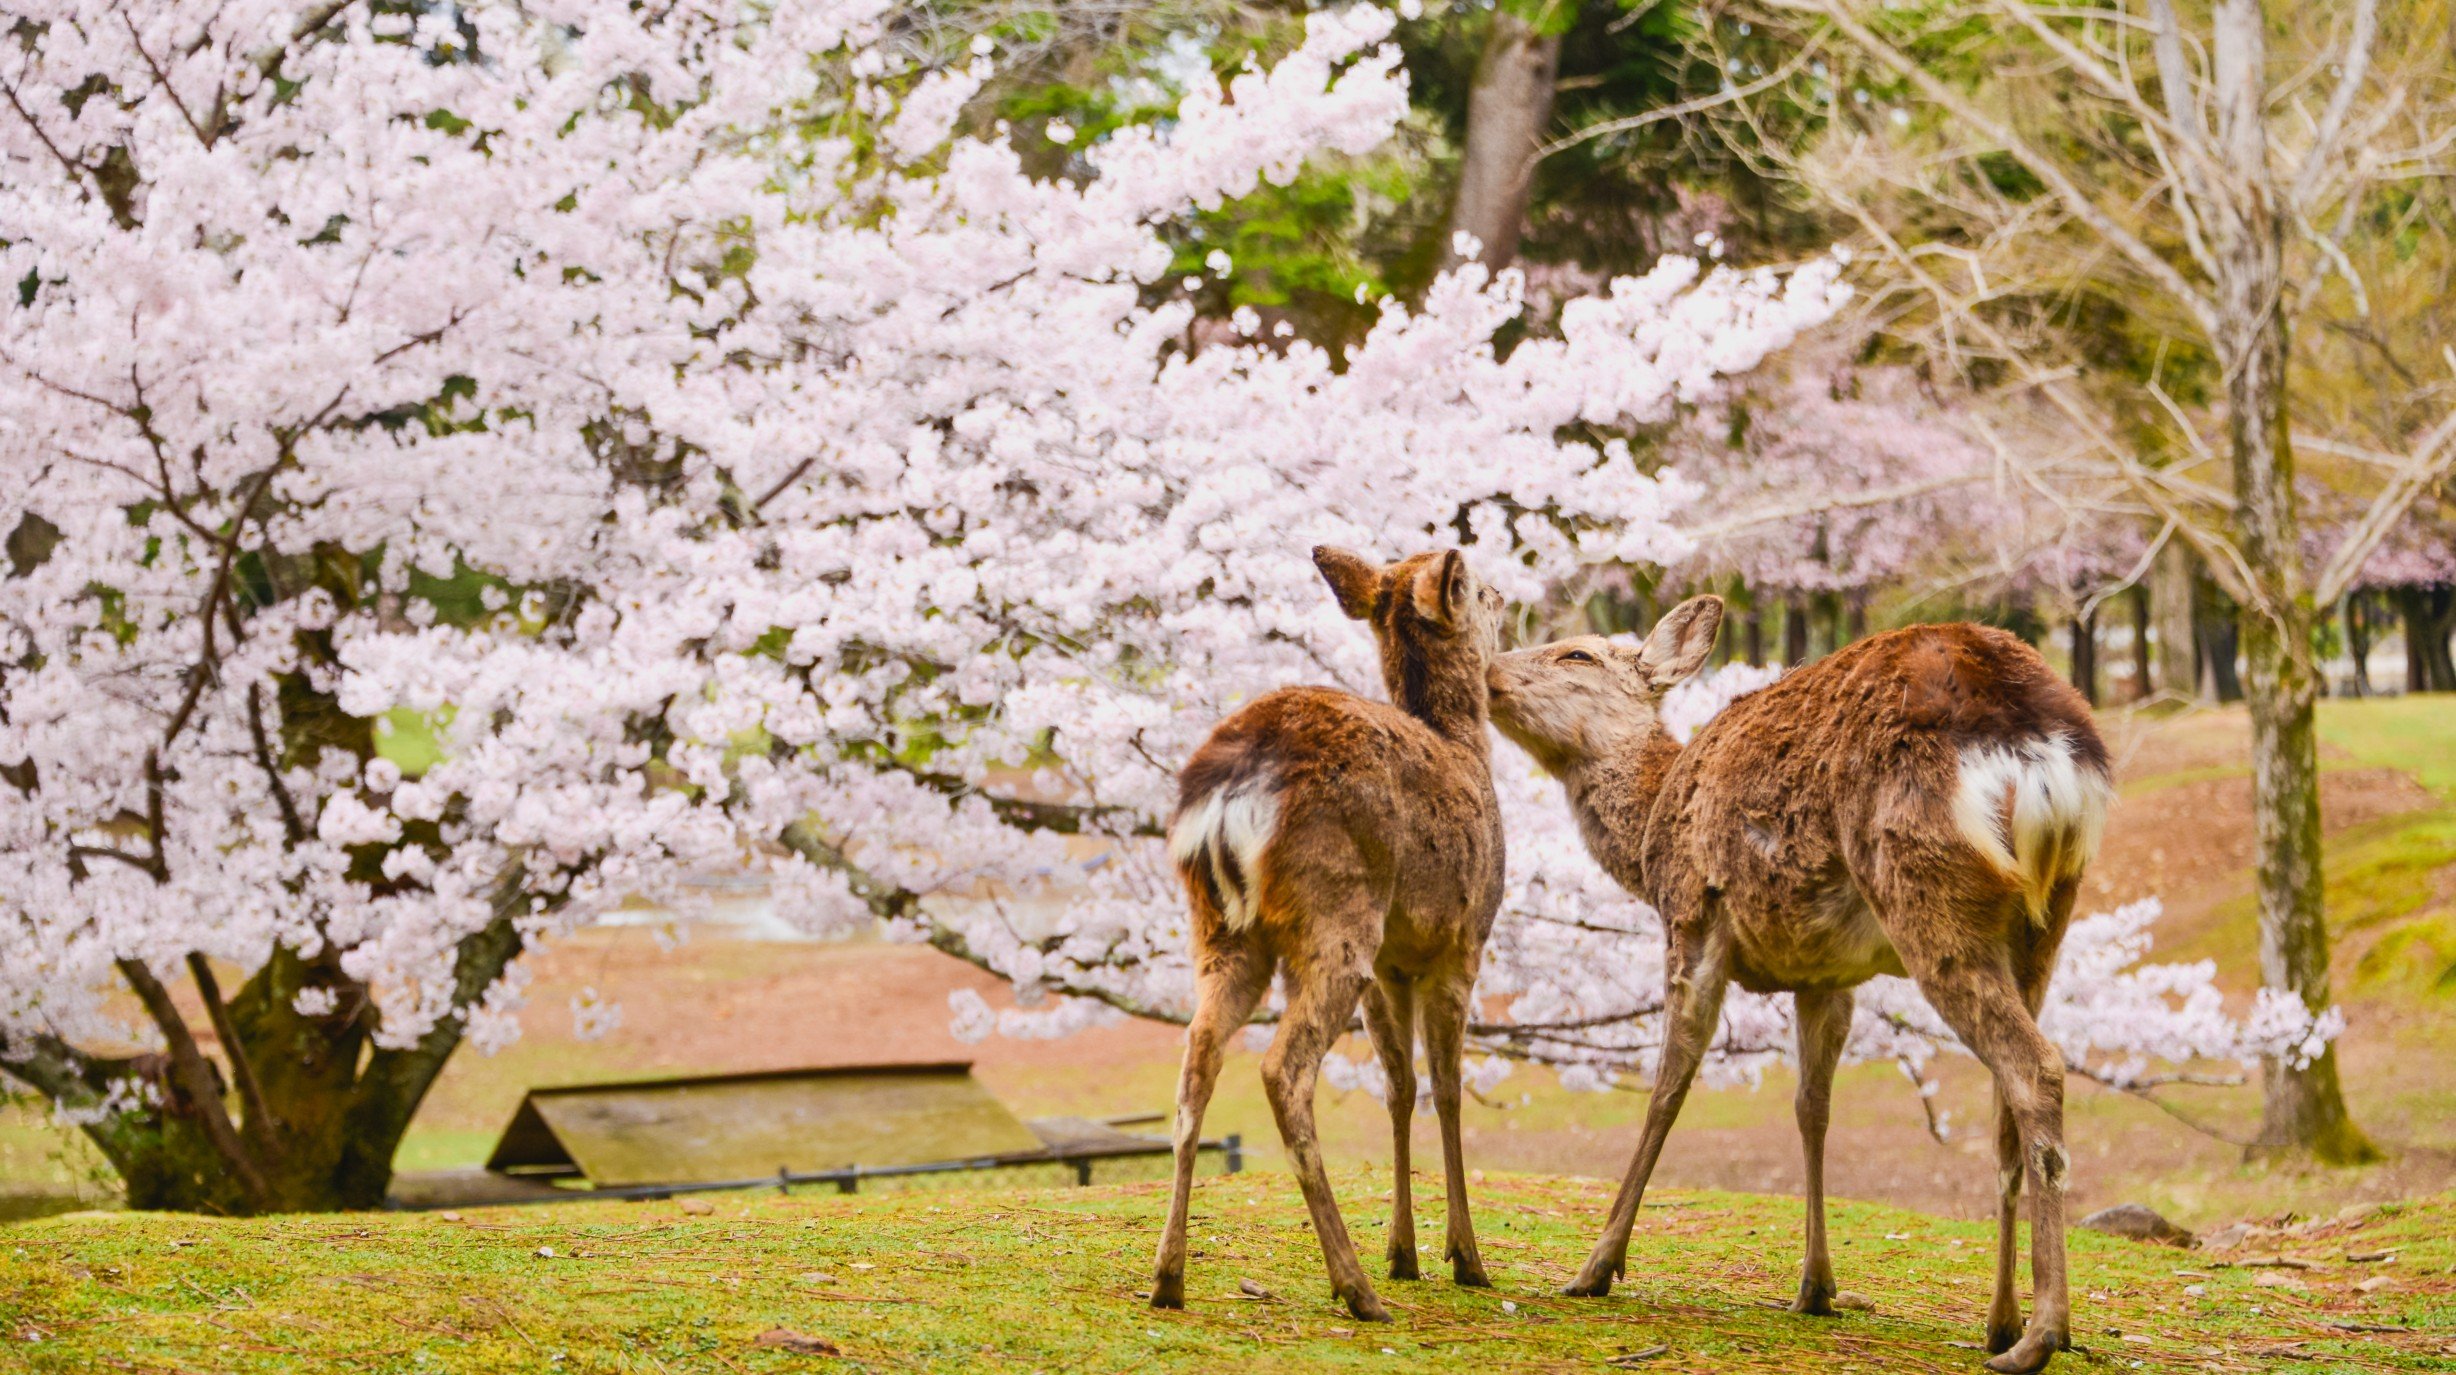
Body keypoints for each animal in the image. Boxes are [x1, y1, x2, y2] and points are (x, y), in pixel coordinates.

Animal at [1149, 545, 1512, 1325]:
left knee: (1196, 1059)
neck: (1468, 749)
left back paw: (1168, 1277)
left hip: (1222, 930)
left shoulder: (1393, 965)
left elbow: (1400, 1086)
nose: (1509, 599)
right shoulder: (1463, 940)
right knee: (1282, 1068)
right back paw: (1355, 1286)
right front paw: (1464, 1258)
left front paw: (1406, 1252)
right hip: (1339, 913)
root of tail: (1233, 788)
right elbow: (1447, 1085)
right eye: (1481, 590)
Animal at [1473, 599, 2112, 1375]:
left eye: (1577, 654)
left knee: (2035, 1066)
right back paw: (2003, 1321)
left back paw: (2042, 1331)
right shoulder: (1825, 973)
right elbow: (1812, 1107)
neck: (1650, 834)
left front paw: (1596, 1266)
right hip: (2046, 921)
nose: (1486, 667)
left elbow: (1669, 1086)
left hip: (1924, 883)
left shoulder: (1693, 913)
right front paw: (1815, 1285)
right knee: (2003, 1106)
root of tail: (2044, 750)